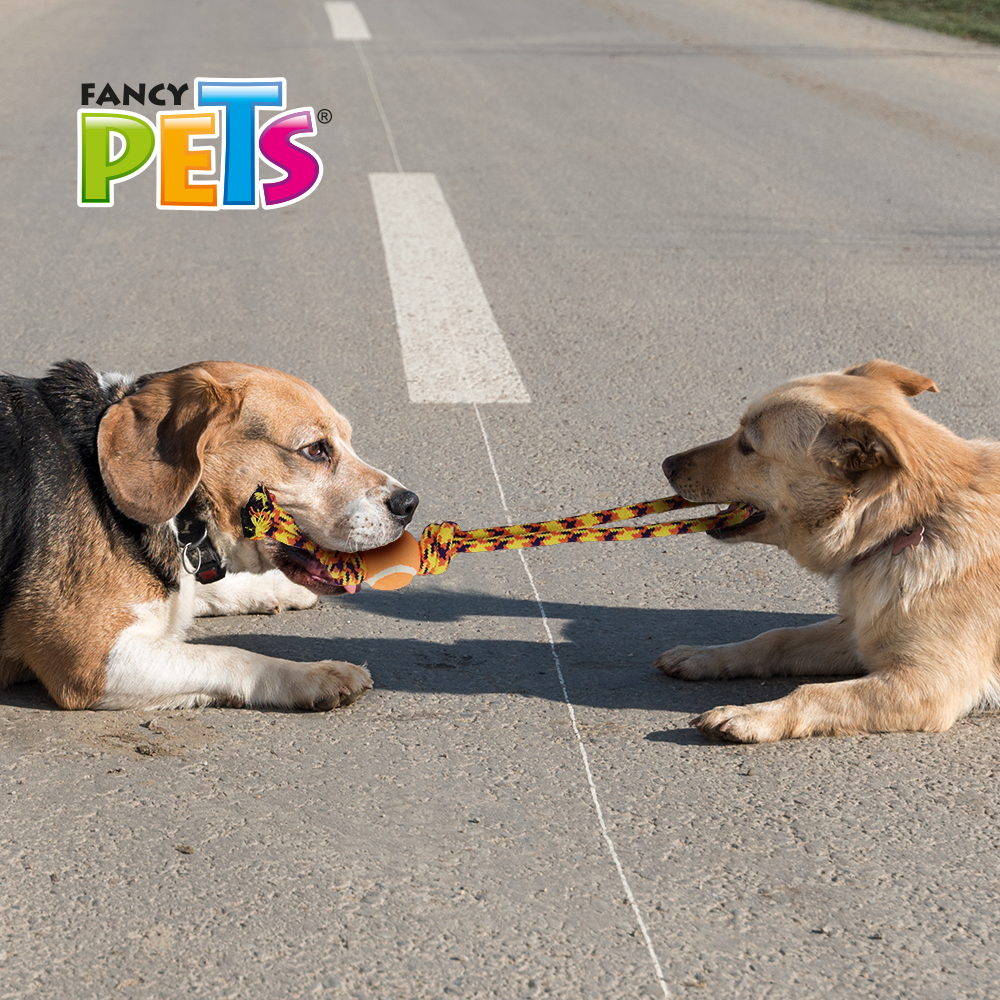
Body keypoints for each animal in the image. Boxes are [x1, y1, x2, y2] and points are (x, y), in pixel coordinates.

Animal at [0, 360, 418, 712]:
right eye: (315, 450)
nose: (409, 503)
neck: (180, 518)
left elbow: (197, 592)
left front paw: (274, 588)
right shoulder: (91, 662)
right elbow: (232, 656)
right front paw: (314, 675)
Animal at [656, 360, 1000, 744]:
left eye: (747, 446)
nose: (667, 464)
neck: (909, 524)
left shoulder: (927, 685)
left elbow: (811, 693)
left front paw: (751, 716)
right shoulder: (858, 632)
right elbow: (775, 638)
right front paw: (705, 656)